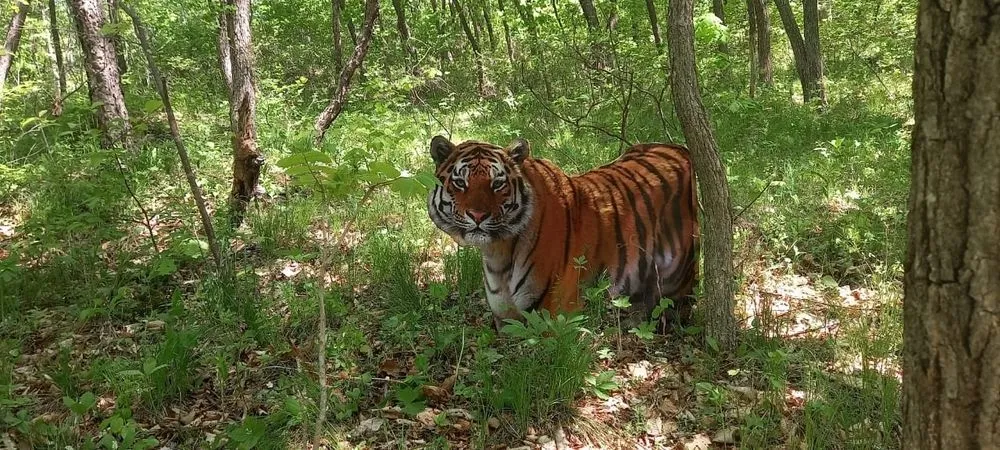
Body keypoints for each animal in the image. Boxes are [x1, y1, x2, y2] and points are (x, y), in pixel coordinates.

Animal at [426, 135, 700, 332]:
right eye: (460, 183)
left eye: (498, 184)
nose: (478, 215)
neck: (498, 251)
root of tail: (679, 147)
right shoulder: (505, 320)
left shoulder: (556, 315)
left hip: (679, 276)